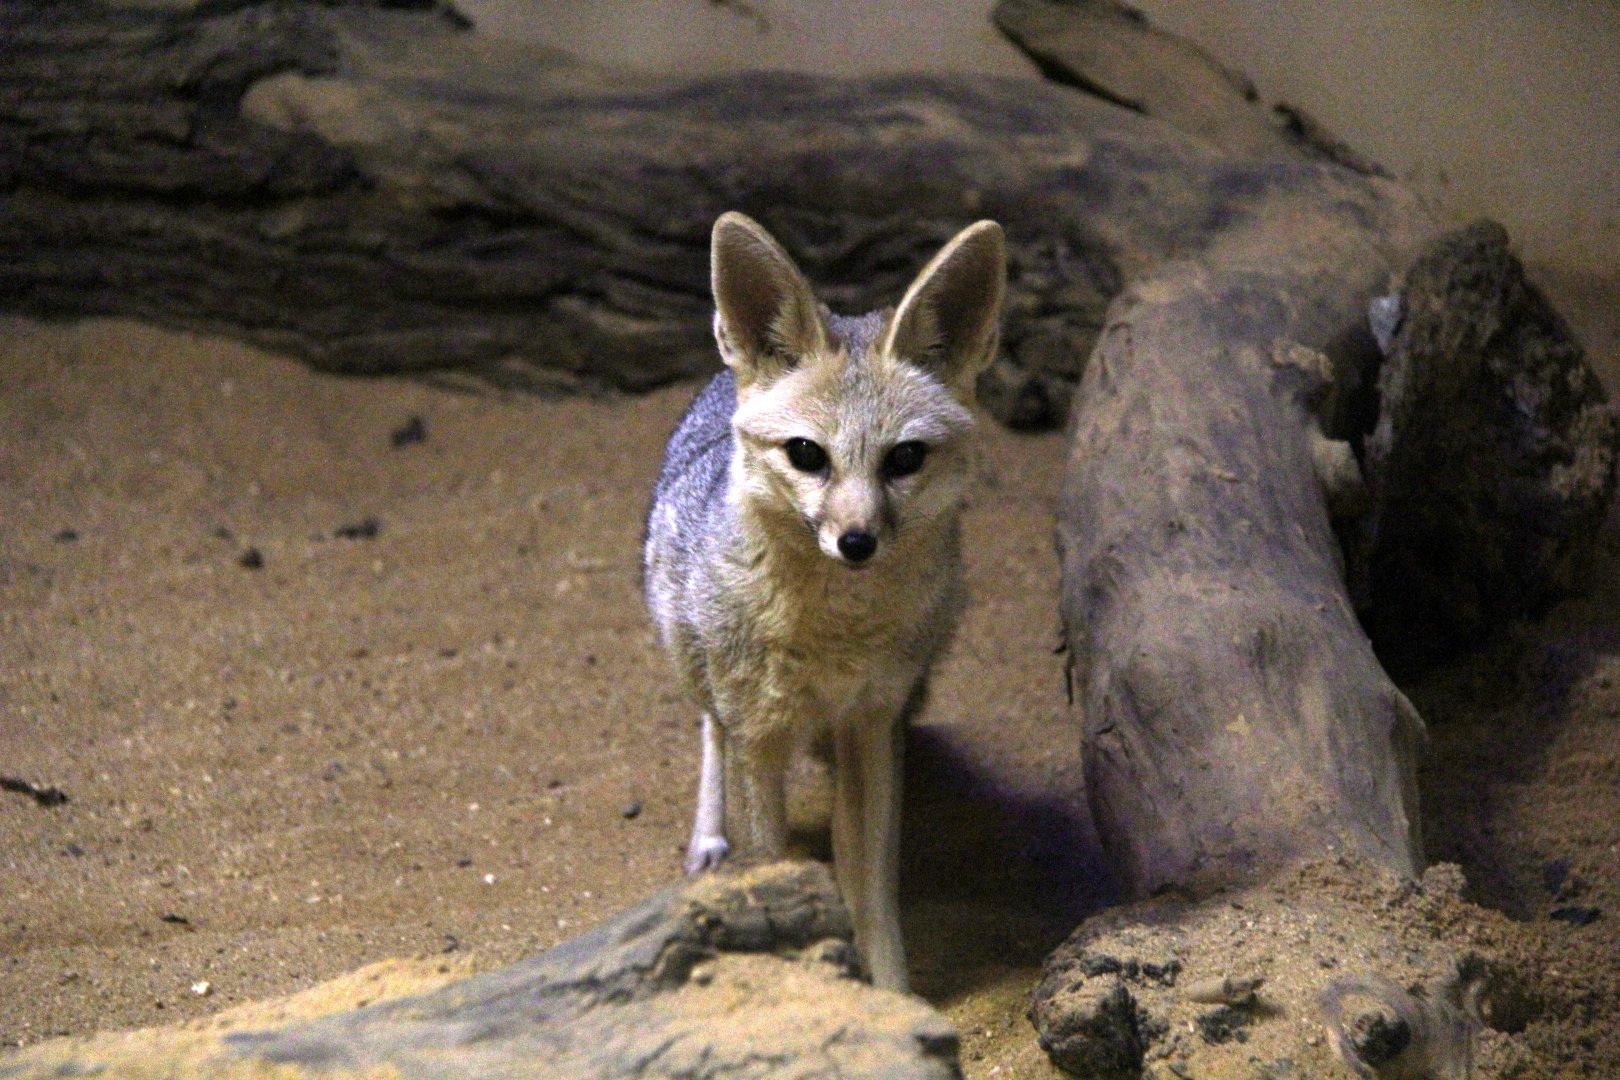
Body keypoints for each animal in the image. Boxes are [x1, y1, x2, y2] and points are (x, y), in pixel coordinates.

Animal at [643, 211, 1006, 991]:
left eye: (905, 458)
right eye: (808, 454)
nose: (857, 542)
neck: (835, 637)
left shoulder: (869, 724)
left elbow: (873, 898)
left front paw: (893, 997)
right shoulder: (757, 737)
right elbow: (771, 868)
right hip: (697, 664)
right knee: (708, 728)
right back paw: (708, 841)